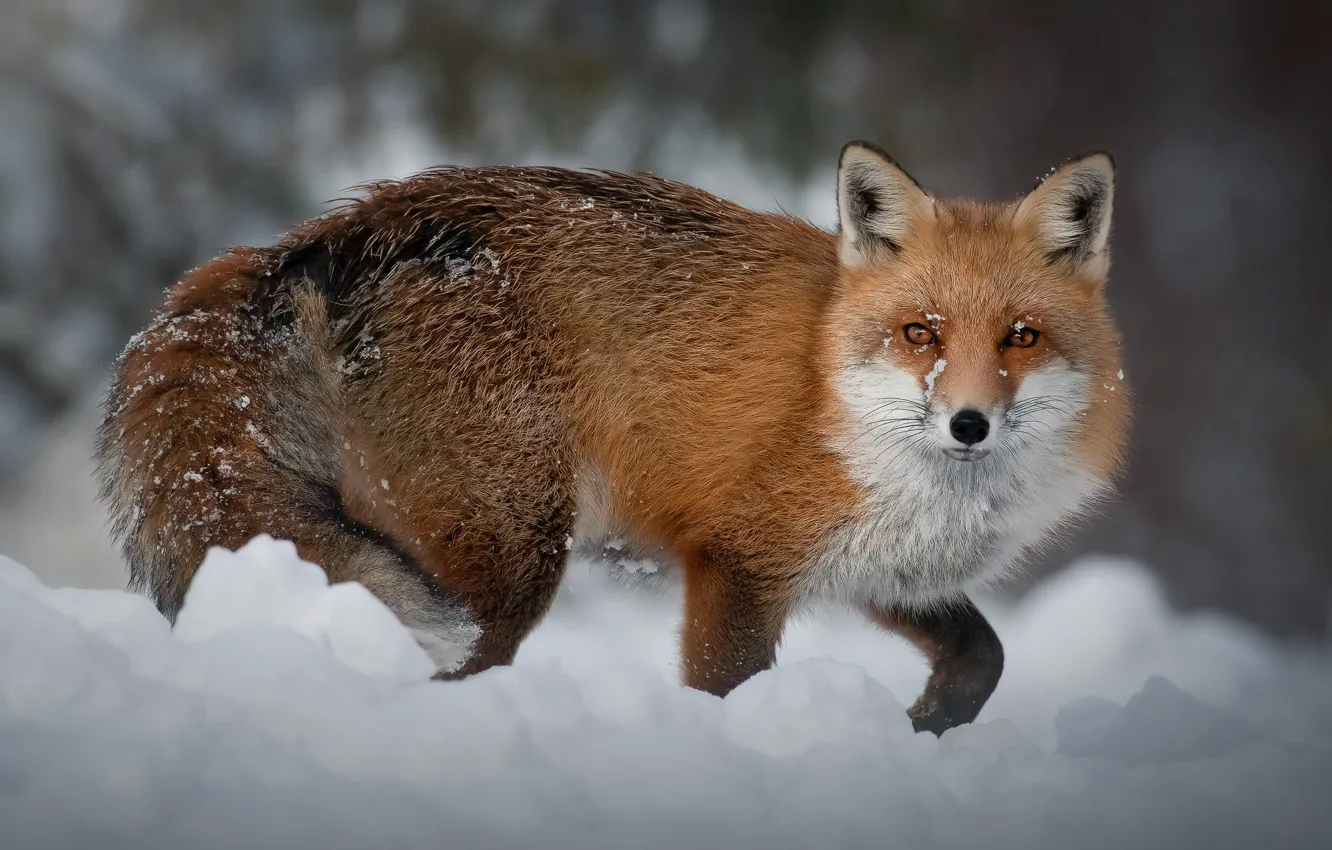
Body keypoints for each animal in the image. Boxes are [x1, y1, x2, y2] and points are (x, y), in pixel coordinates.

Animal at [97, 141, 1130, 734]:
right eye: (921, 333)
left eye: (1021, 338)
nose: (969, 423)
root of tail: (320, 238)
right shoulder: (737, 559)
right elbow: (724, 693)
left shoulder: (877, 568)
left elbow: (984, 659)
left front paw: (923, 730)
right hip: (510, 566)